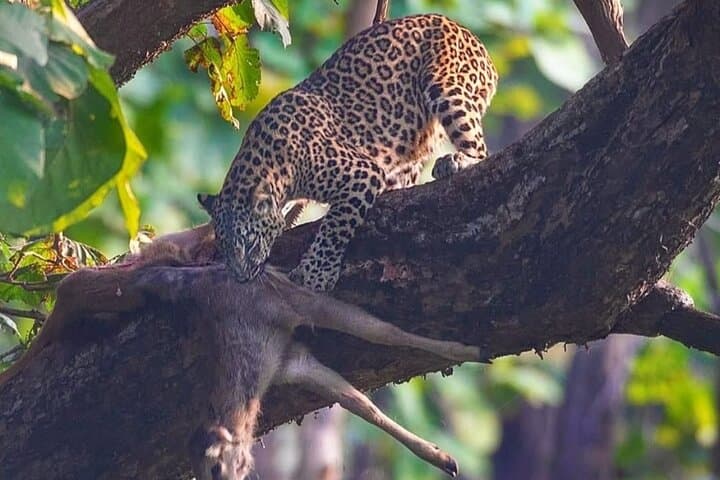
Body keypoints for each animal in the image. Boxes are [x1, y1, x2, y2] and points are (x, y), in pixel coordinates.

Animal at [199, 13, 498, 291]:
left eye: (249, 243)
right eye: (224, 251)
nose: (241, 278)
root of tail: (468, 33)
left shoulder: (361, 173)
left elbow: (336, 225)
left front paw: (315, 274)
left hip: (445, 86)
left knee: (482, 152)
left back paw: (456, 161)